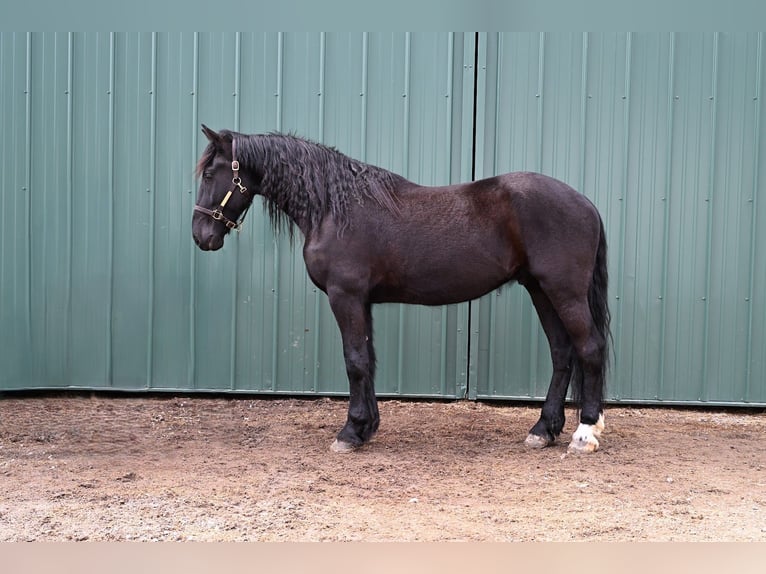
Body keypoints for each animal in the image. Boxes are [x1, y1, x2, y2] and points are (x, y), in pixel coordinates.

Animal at [192, 125, 611, 454]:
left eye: (211, 173)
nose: (201, 235)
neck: (334, 208)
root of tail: (586, 203)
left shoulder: (345, 297)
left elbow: (354, 361)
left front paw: (349, 432)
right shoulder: (362, 302)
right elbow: (368, 360)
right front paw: (366, 428)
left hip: (564, 291)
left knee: (589, 348)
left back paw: (584, 433)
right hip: (539, 289)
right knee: (562, 353)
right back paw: (543, 430)